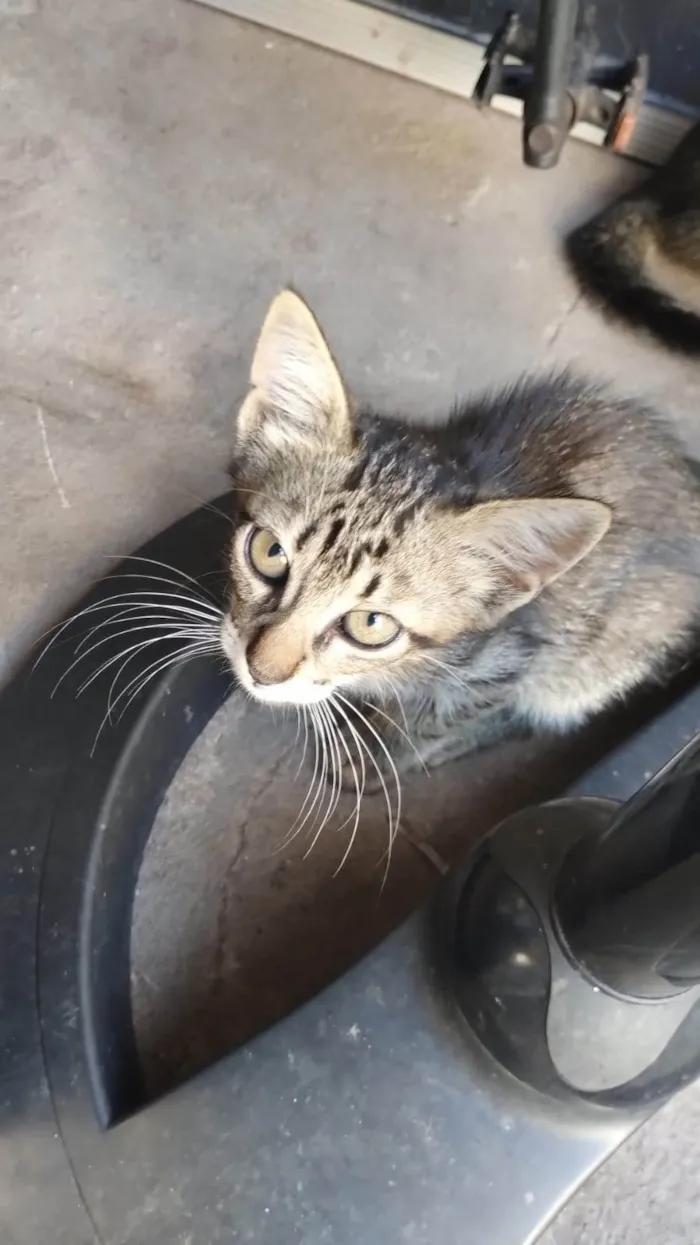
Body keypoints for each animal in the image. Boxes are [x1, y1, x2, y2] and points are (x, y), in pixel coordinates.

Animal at [220, 286, 697, 781]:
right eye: (270, 552)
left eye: (371, 625)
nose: (259, 672)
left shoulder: (511, 661)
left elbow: (445, 715)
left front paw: (377, 752)